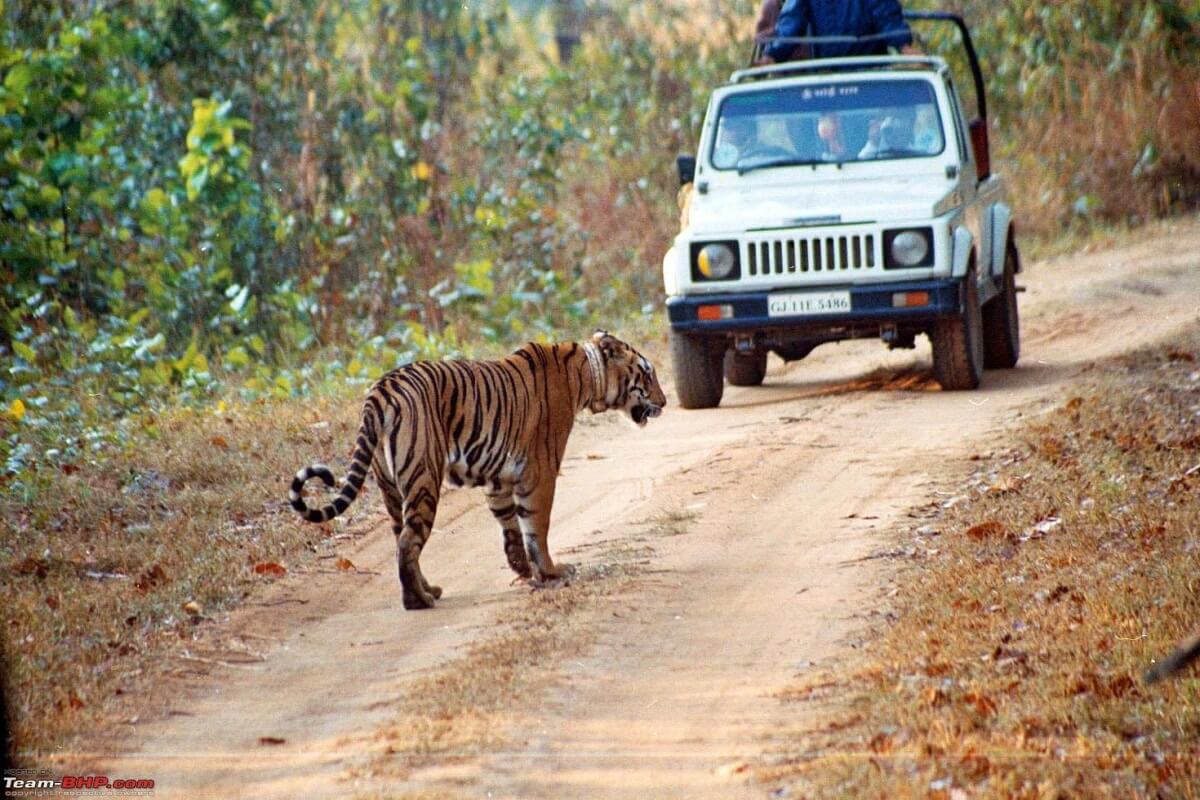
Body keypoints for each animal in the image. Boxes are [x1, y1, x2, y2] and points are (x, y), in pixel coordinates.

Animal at [288, 330, 666, 610]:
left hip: (390, 488)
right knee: (409, 541)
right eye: (647, 373)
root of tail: (379, 391)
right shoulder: (539, 471)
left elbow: (511, 527)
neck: (585, 375)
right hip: (423, 477)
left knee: (401, 539)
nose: (663, 403)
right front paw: (550, 571)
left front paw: (523, 569)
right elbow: (537, 526)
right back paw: (418, 600)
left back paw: (429, 590)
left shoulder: (499, 478)